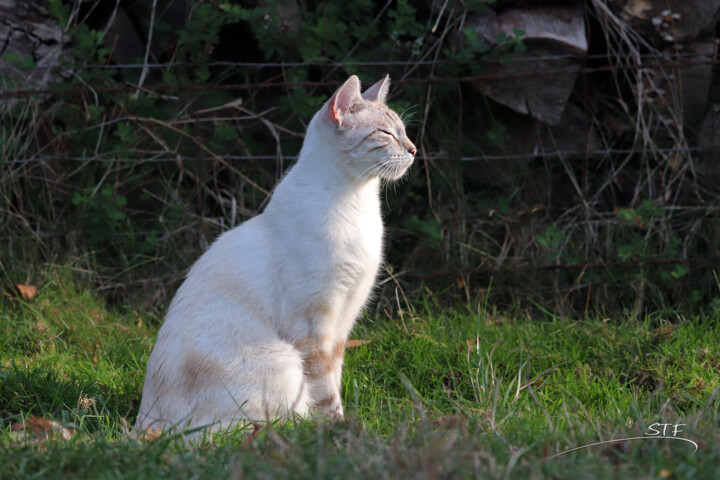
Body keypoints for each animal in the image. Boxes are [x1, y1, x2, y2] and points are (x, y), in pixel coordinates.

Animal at [136, 74, 416, 432]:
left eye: (404, 131)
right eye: (386, 134)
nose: (414, 149)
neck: (358, 201)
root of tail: (143, 424)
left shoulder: (342, 323)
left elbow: (335, 377)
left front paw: (342, 426)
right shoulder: (312, 326)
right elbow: (326, 392)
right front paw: (339, 430)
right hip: (282, 363)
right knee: (256, 431)